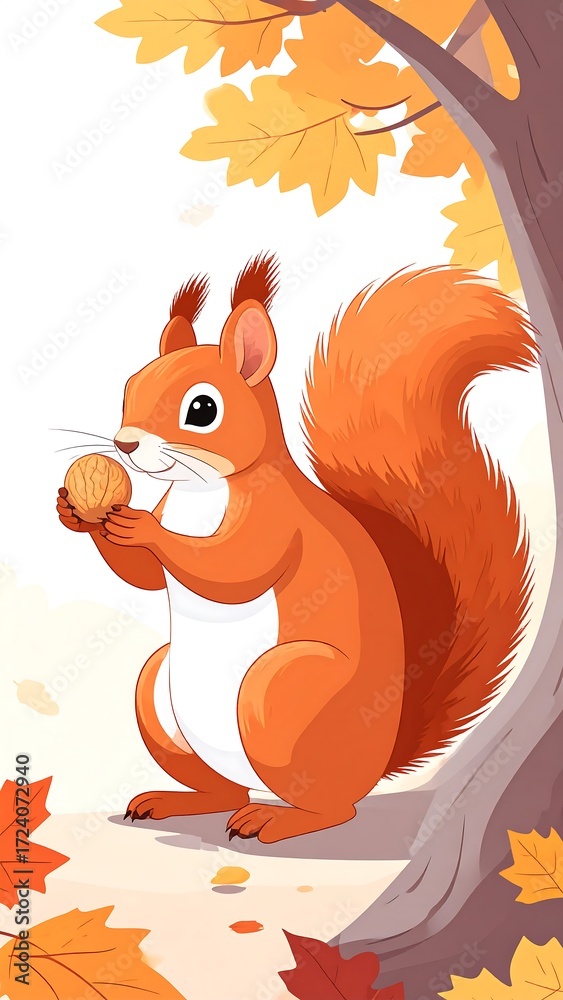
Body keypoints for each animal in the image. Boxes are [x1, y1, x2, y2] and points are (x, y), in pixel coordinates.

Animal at [56, 254, 537, 843]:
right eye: (129, 386)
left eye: (202, 408)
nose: (124, 444)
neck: (202, 490)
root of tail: (375, 764)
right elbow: (144, 578)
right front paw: (75, 512)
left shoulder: (277, 520)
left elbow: (231, 568)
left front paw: (141, 527)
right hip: (159, 692)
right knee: (227, 790)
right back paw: (178, 801)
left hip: (281, 692)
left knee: (334, 808)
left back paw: (277, 819)